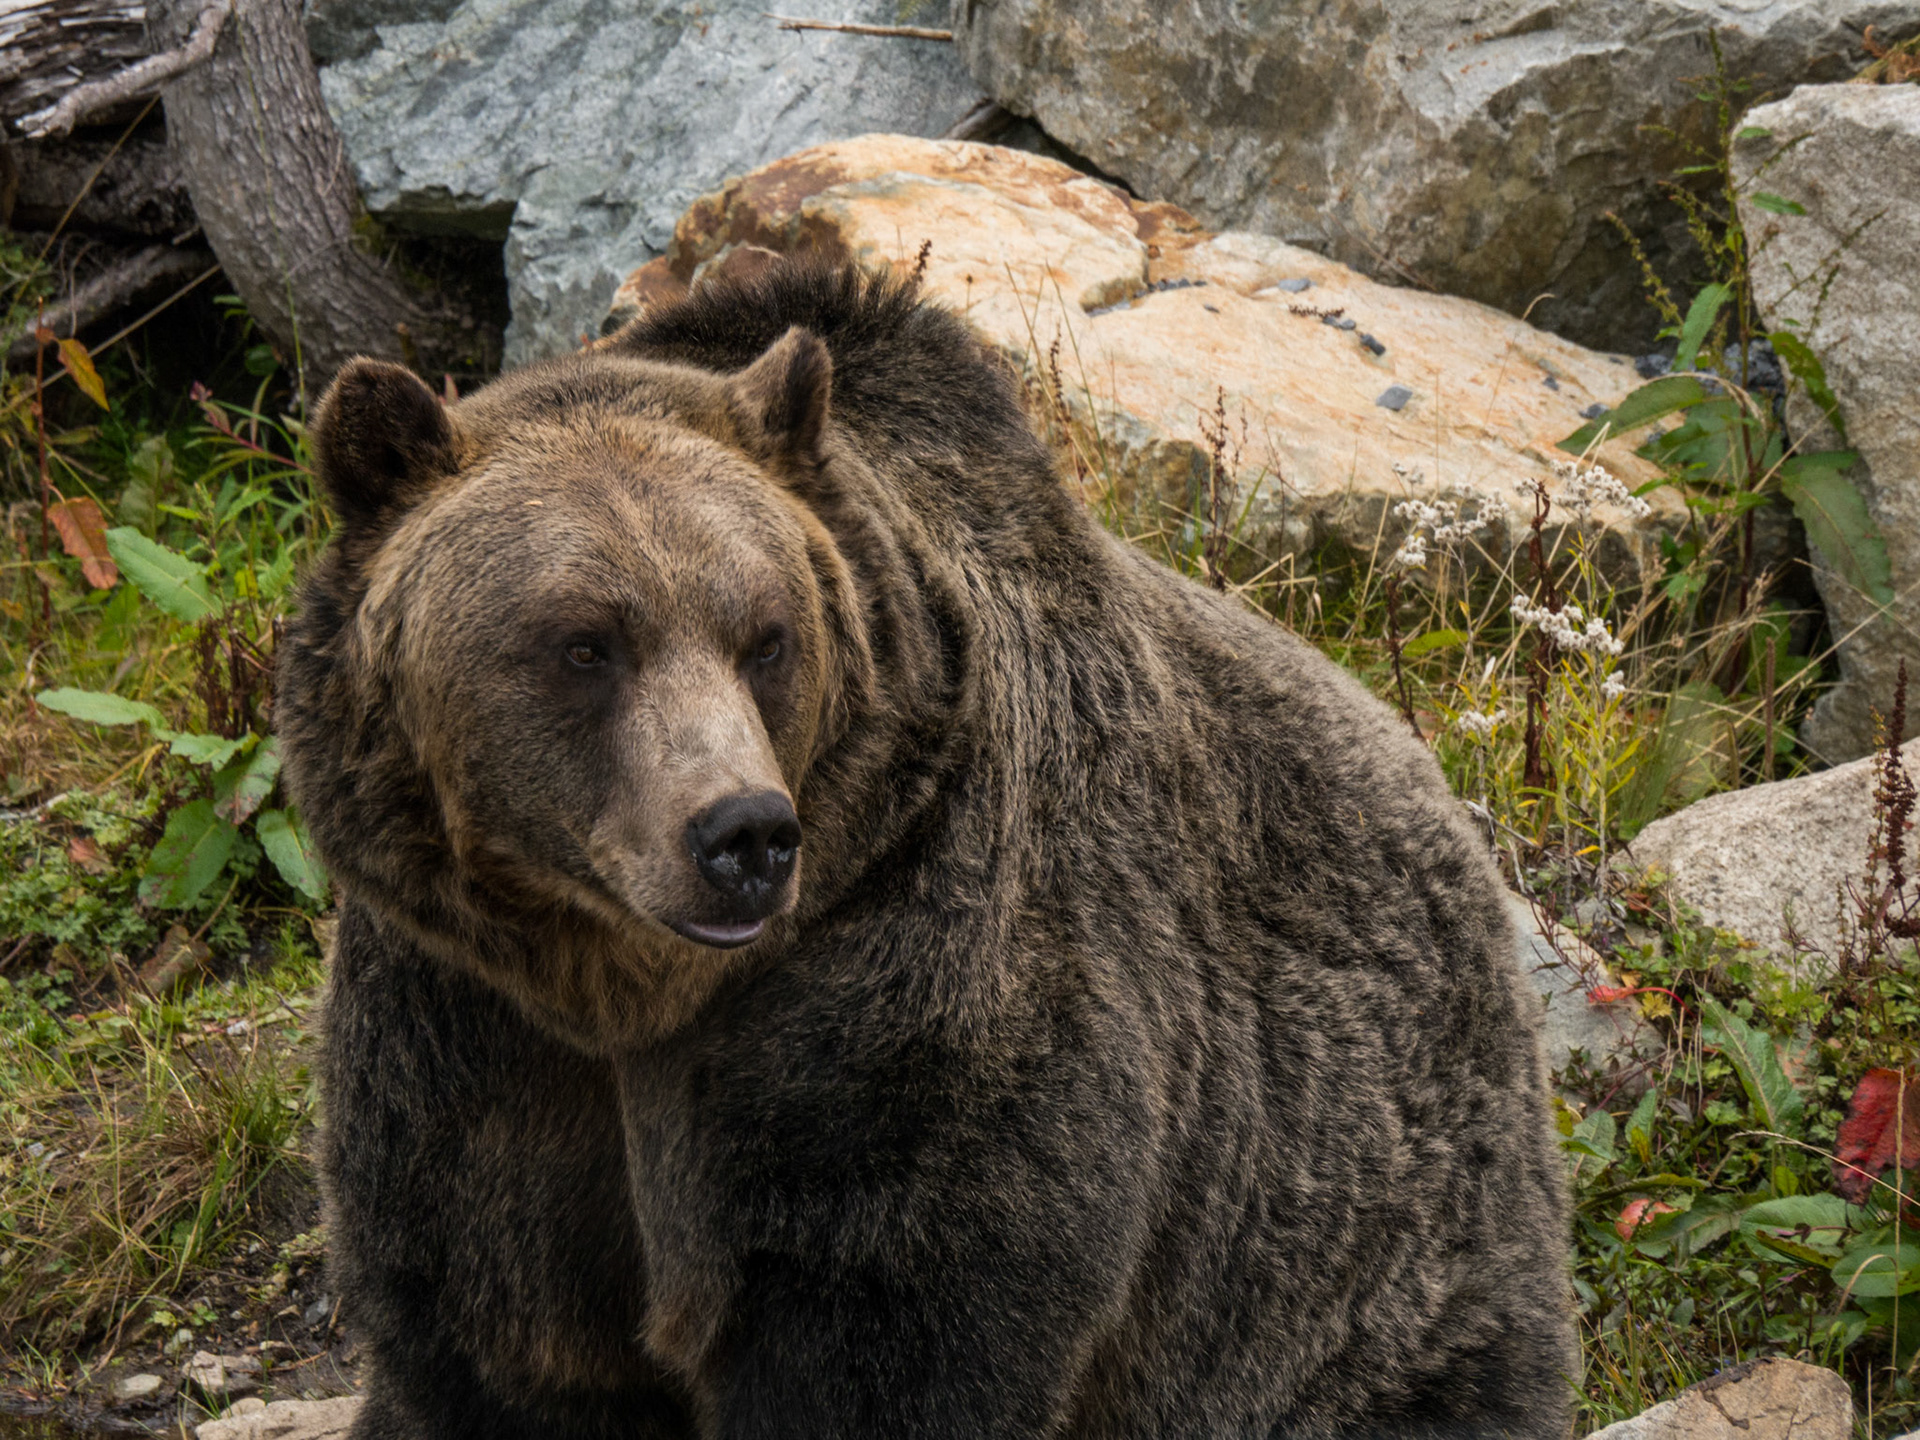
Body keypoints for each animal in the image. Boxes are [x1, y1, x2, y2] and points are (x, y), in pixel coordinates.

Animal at [277, 260, 1574, 1440]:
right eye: (584, 641)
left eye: (766, 635)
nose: (742, 835)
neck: (625, 994)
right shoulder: (470, 1040)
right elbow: (494, 1336)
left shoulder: (905, 986)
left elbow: (895, 1320)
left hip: (1360, 1253)